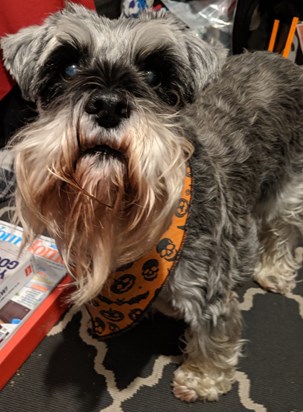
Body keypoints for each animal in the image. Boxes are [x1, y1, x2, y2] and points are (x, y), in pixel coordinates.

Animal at [1, 2, 303, 402]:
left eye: (154, 75)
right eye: (68, 68)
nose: (108, 105)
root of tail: (282, 60)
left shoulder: (209, 292)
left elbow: (213, 336)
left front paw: (202, 378)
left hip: (289, 187)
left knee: (283, 231)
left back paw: (274, 271)